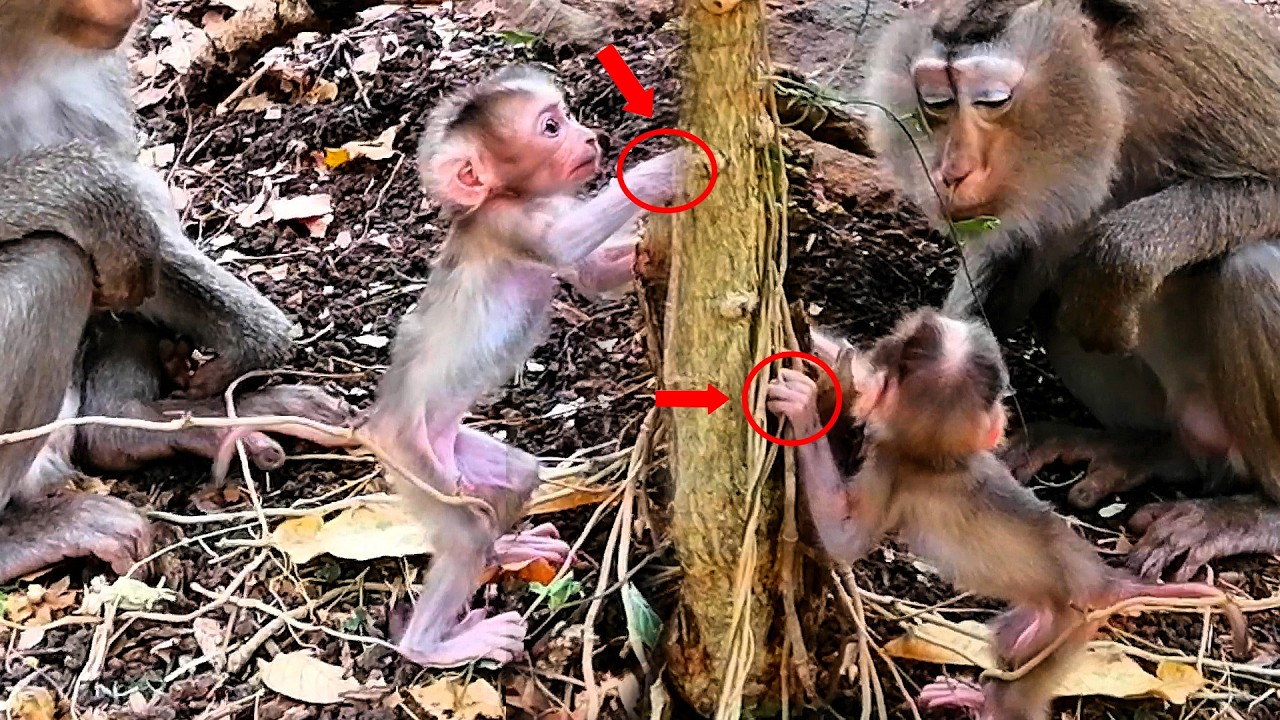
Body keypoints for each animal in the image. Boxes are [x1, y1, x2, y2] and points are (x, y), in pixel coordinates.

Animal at [0, 0, 354, 584]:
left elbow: (138, 224)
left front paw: (250, 343)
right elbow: (105, 209)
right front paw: (91, 194)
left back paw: (138, 426)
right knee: (57, 262)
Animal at [211, 65, 686, 666]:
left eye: (566, 116)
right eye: (550, 127)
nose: (591, 139)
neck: (515, 198)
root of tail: (373, 426)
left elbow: (594, 278)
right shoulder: (506, 223)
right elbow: (562, 245)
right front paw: (671, 166)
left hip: (450, 454)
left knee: (514, 479)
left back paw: (509, 548)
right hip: (414, 466)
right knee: (462, 537)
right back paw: (431, 645)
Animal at [766, 308, 1247, 720]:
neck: (941, 457)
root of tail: (1107, 581)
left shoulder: (890, 468)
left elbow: (843, 539)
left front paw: (803, 409)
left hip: (1066, 631)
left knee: (1017, 697)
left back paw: (990, 703)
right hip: (1041, 616)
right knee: (1007, 642)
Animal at [862, 0, 1280, 582]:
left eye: (992, 100)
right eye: (936, 101)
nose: (950, 171)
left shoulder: (1198, 66)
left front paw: (1121, 258)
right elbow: (1019, 244)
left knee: (1252, 268)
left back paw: (1258, 513)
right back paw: (1142, 447)